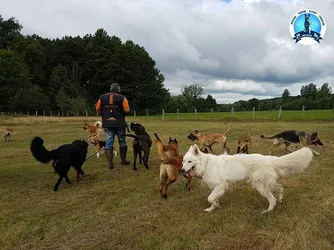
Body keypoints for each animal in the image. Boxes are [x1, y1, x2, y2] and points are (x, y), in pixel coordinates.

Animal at [181, 146, 314, 214]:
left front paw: (215, 206)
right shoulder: (216, 188)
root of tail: (270, 159)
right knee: (280, 187)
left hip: (260, 186)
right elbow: (213, 199)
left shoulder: (220, 186)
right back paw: (281, 200)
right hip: (265, 184)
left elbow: (210, 198)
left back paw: (268, 211)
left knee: (272, 199)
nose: (182, 170)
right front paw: (212, 208)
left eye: (190, 162)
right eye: (183, 161)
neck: (206, 164)